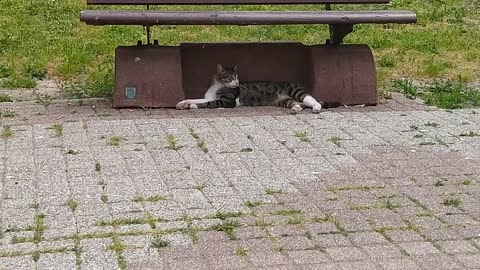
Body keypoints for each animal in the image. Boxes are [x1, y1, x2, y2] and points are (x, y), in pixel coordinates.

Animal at [176, 63, 330, 113]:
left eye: (237, 78)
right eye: (231, 78)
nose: (237, 83)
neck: (218, 86)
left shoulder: (227, 101)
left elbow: (209, 103)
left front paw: (193, 107)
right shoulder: (208, 96)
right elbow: (195, 99)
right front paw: (182, 103)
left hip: (295, 91)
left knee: (309, 99)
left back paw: (316, 107)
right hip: (284, 100)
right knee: (299, 104)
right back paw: (296, 108)